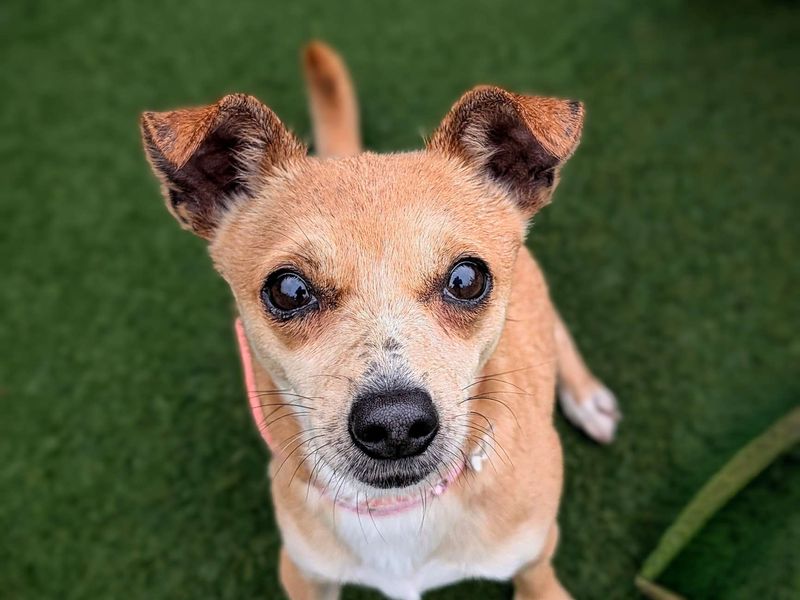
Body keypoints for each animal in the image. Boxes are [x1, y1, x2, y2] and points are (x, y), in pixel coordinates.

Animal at [141, 41, 620, 600]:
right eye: (288, 290)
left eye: (467, 279)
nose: (396, 425)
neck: (398, 512)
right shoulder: (304, 576)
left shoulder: (537, 564)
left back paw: (586, 397)